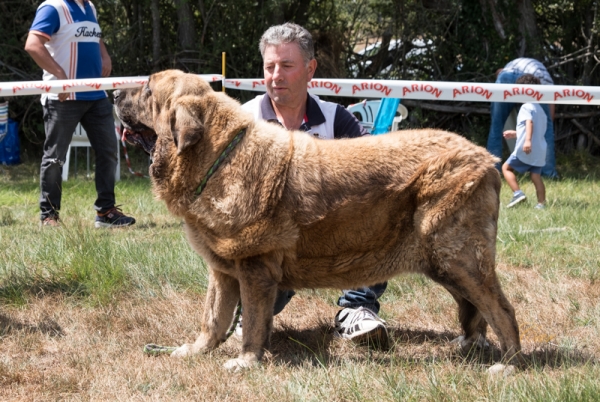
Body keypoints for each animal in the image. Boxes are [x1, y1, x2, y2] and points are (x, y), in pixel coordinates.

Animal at [115, 69, 524, 370]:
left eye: (147, 89)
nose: (116, 93)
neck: (219, 157)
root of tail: (486, 158)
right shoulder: (223, 271)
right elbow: (213, 319)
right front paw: (194, 351)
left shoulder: (254, 269)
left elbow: (251, 324)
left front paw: (246, 360)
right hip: (443, 261)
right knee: (472, 307)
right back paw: (470, 343)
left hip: (457, 256)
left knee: (500, 308)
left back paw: (508, 363)